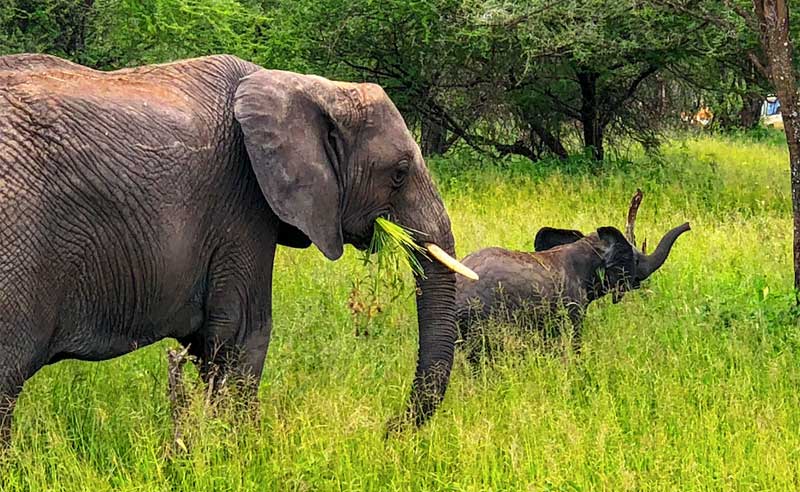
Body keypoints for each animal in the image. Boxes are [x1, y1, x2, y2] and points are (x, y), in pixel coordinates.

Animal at [0, 55, 476, 444]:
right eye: (399, 173)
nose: (387, 429)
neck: (305, 86)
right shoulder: (240, 208)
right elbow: (240, 337)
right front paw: (246, 454)